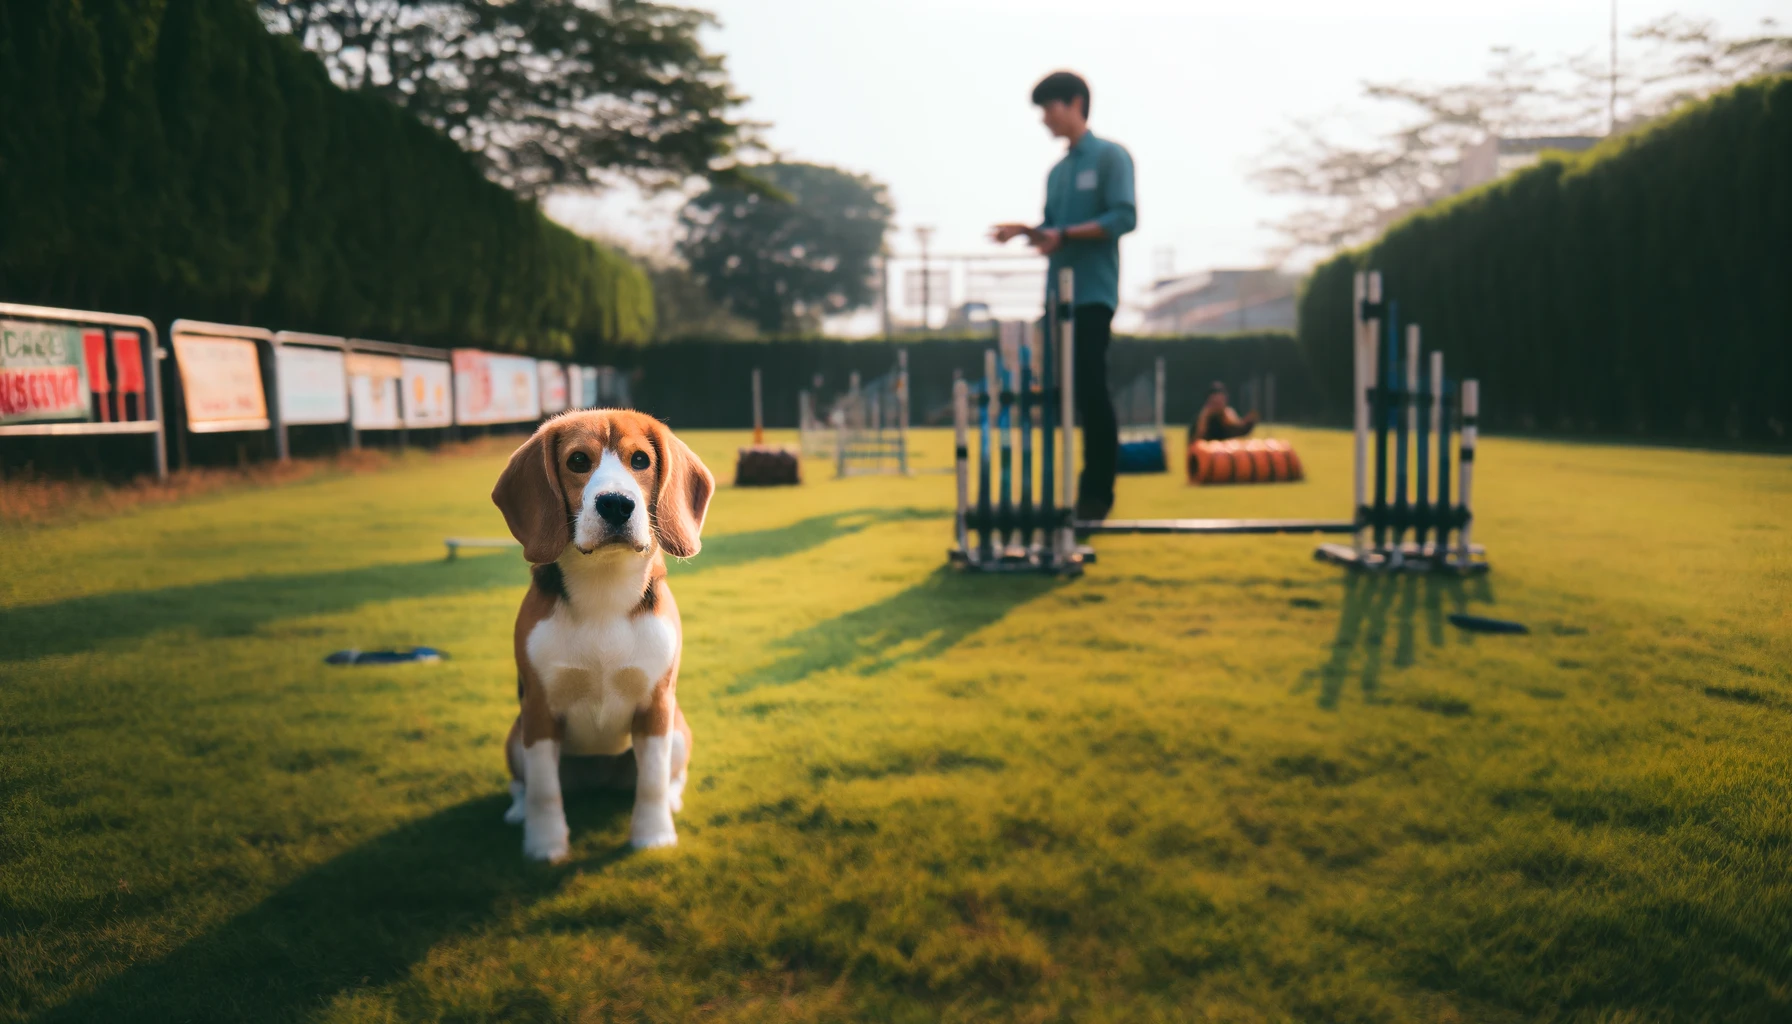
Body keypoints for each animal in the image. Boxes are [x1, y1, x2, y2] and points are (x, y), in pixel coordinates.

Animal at [494, 412, 716, 860]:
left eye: (640, 459)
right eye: (578, 460)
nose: (616, 503)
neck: (604, 588)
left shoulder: (657, 706)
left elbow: (652, 781)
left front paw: (653, 837)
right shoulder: (538, 709)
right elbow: (543, 788)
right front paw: (545, 845)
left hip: (678, 731)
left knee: (671, 776)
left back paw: (673, 800)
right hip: (515, 736)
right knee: (522, 784)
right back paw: (518, 811)